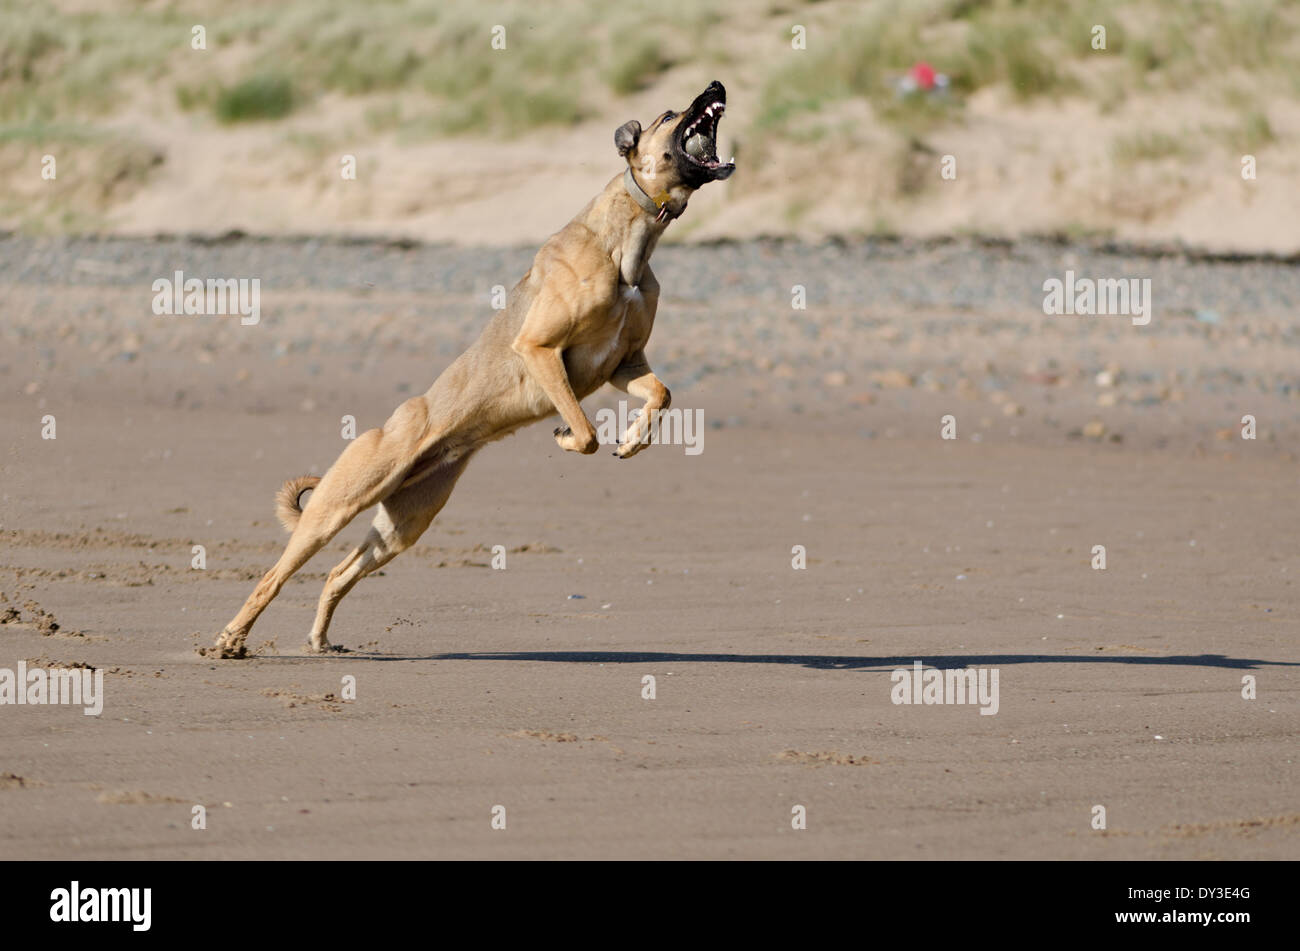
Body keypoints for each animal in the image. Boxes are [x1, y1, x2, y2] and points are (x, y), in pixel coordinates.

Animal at [214, 81, 743, 657]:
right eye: (669, 114)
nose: (716, 85)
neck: (627, 239)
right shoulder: (539, 348)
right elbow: (584, 434)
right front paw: (568, 435)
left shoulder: (623, 364)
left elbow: (661, 394)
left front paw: (632, 440)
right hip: (337, 505)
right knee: (276, 575)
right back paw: (229, 639)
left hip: (405, 522)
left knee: (338, 572)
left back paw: (318, 638)